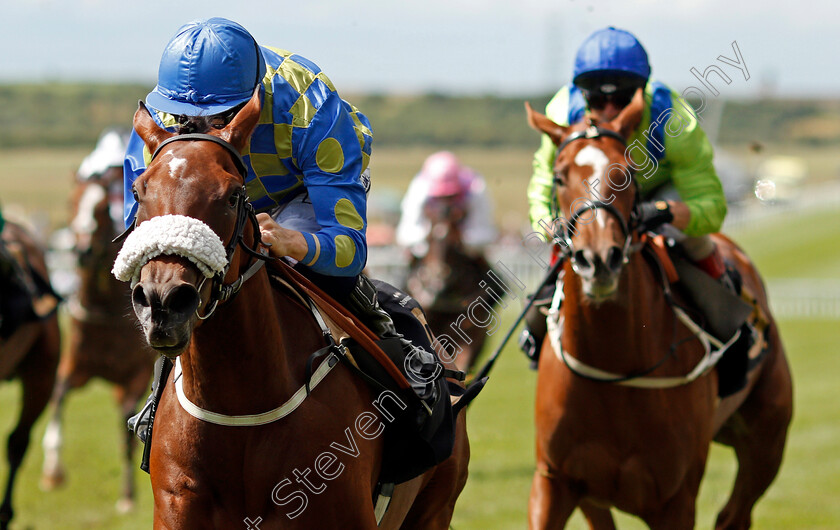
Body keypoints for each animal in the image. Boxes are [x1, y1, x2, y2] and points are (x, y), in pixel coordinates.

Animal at [39, 159, 155, 510]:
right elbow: (58, 397)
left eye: (102, 208)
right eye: (71, 202)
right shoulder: (75, 366)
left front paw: (128, 496)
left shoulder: (136, 375)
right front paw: (52, 471)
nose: (82, 251)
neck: (104, 306)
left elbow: (128, 423)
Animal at [524, 92, 796, 528]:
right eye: (560, 176)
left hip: (767, 439)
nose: (598, 259)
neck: (616, 367)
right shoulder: (554, 481)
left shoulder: (675, 500)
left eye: (627, 173)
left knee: (734, 513)